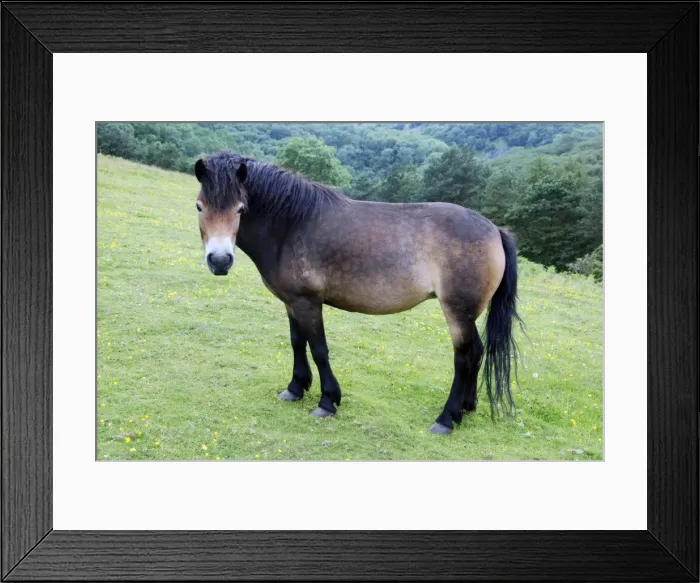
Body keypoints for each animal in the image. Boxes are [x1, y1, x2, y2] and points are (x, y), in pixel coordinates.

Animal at [193, 151, 522, 434]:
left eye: (240, 208)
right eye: (200, 206)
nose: (220, 261)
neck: (291, 225)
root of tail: (495, 230)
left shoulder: (308, 303)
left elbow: (319, 350)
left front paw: (327, 401)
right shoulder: (292, 303)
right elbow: (297, 343)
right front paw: (295, 388)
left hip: (458, 313)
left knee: (464, 357)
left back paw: (446, 418)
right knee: (477, 352)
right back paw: (466, 408)